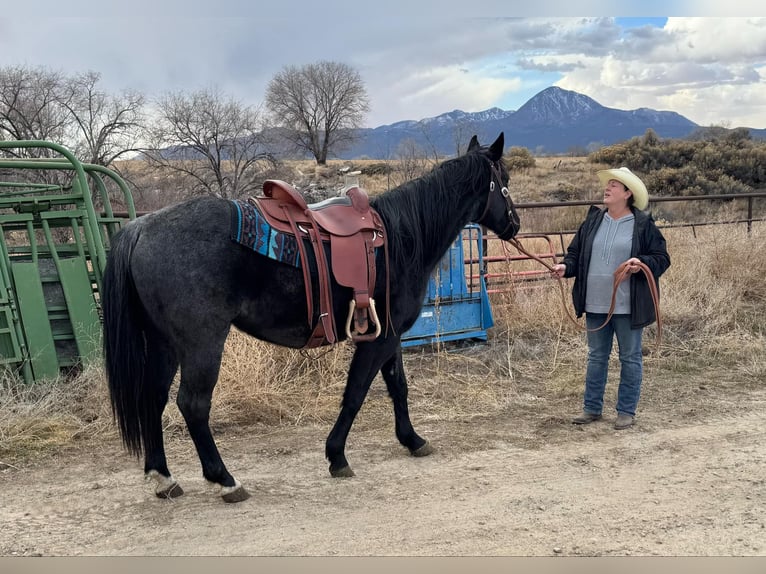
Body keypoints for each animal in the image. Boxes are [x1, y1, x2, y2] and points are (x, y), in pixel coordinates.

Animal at [102, 132, 520, 503]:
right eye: (504, 180)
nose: (514, 224)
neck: (401, 238)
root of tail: (140, 227)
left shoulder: (390, 335)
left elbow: (397, 386)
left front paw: (412, 440)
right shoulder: (379, 338)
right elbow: (356, 393)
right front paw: (337, 455)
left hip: (164, 344)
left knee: (153, 397)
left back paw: (162, 476)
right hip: (202, 344)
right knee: (193, 404)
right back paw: (225, 480)